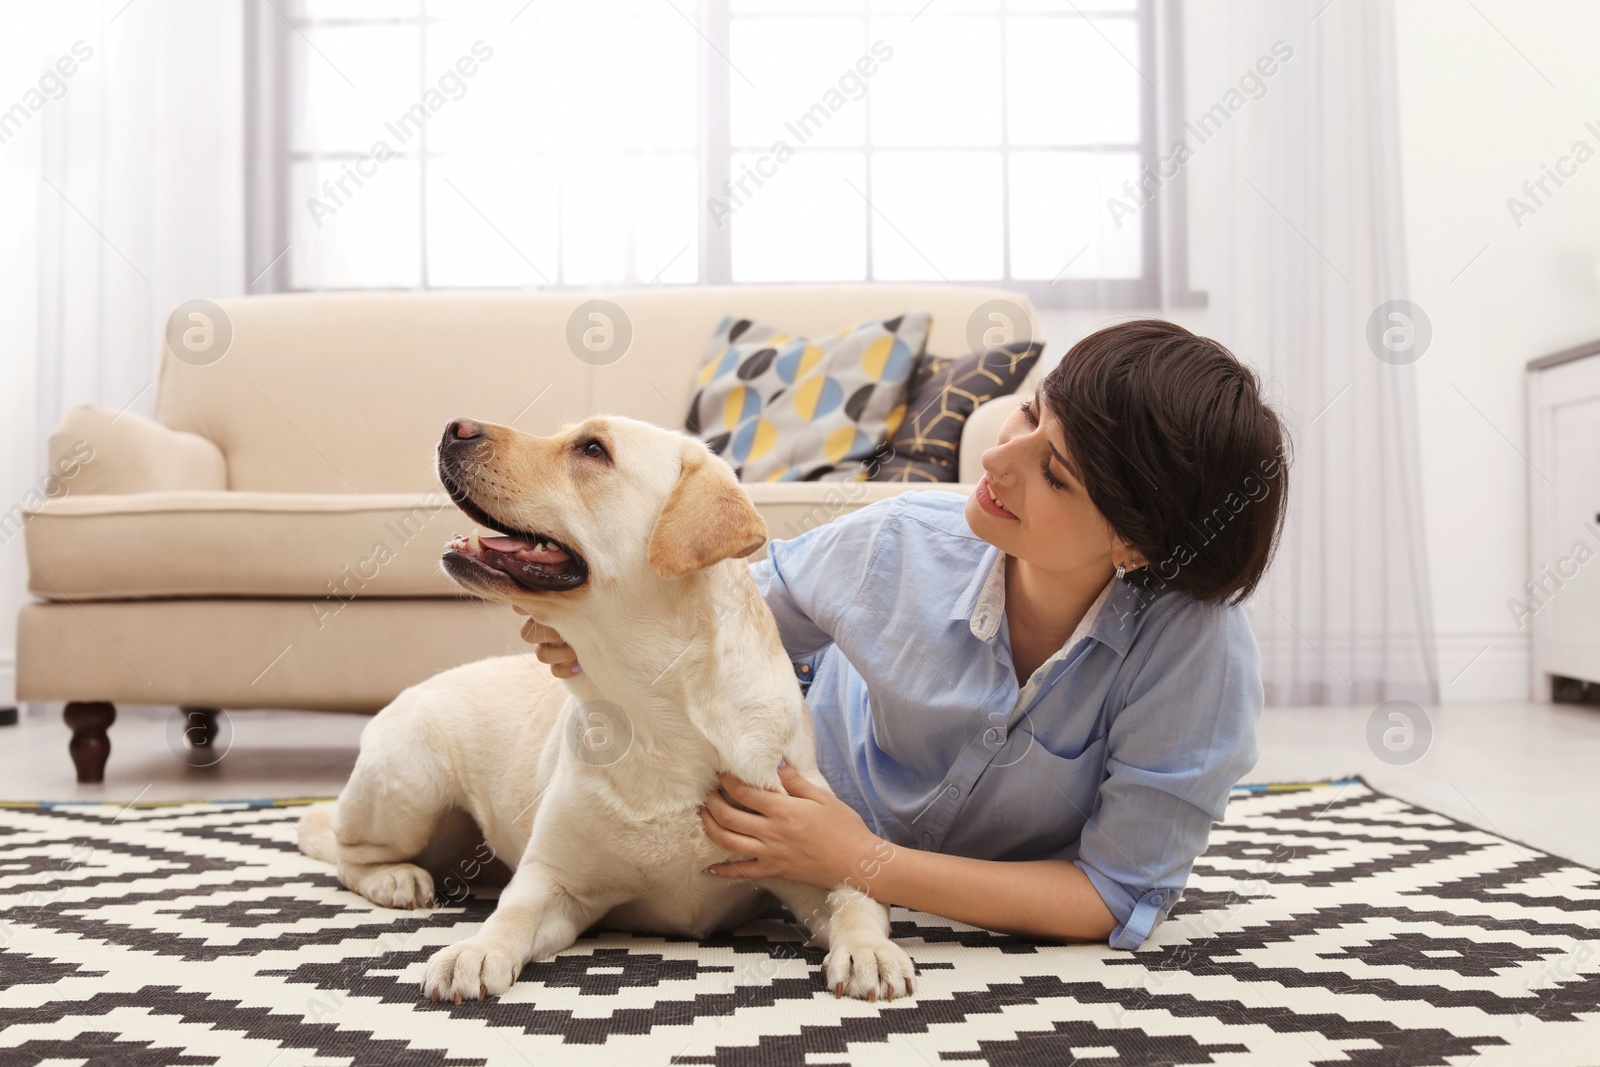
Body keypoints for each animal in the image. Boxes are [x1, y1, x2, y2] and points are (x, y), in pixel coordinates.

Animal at [297, 415, 915, 1004]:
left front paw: (869, 952)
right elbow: (512, 913)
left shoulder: (813, 856)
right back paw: (396, 879)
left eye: (592, 449)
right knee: (342, 847)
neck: (655, 715)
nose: (454, 426)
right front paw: (473, 950)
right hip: (411, 786)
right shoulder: (553, 881)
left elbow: (856, 901)